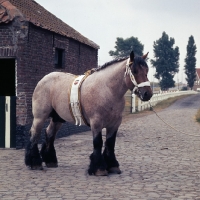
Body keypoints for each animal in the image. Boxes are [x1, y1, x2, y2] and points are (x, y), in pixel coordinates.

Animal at [25, 51, 153, 175]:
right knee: (35, 133)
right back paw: (34, 163)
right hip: (39, 117)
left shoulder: (114, 124)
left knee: (50, 133)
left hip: (58, 118)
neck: (106, 90)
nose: (147, 94)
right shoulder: (96, 123)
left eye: (146, 71)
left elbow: (110, 143)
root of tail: (43, 79)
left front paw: (113, 166)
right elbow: (98, 142)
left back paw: (50, 161)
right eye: (135, 71)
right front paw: (99, 169)